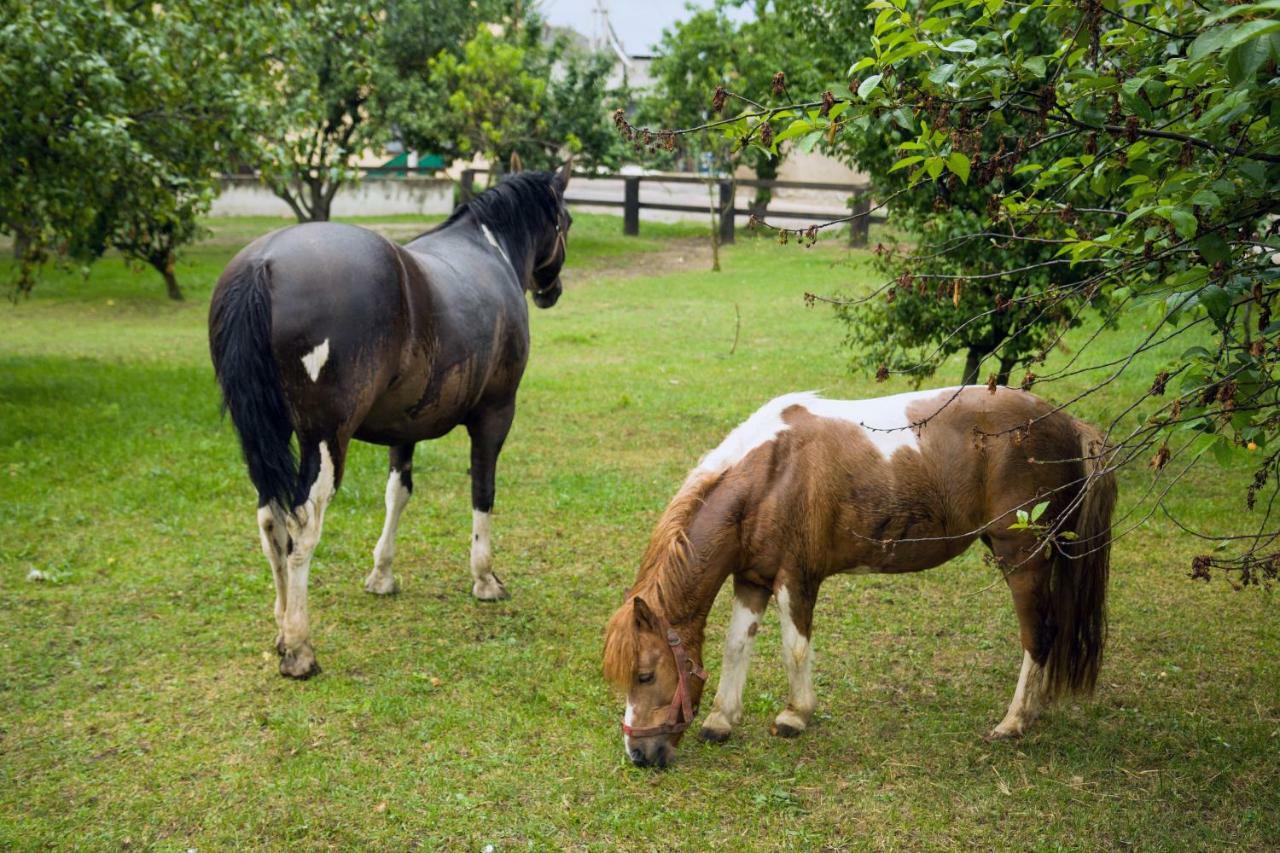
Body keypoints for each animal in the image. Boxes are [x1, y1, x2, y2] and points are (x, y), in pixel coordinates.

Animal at [212, 162, 573, 676]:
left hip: (264, 439)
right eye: (566, 222)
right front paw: (485, 579)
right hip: (324, 442)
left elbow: (396, 495)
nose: (551, 292)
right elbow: (482, 492)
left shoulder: (406, 426)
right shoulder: (495, 415)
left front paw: (381, 573)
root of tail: (264, 263)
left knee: (270, 522)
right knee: (302, 528)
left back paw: (282, 630)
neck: (488, 249)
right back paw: (300, 647)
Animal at [604, 384, 1116, 763]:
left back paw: (1013, 722)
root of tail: (1067, 423)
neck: (770, 475)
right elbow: (736, 647)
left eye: (645, 676)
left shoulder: (796, 578)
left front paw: (795, 716)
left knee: (1038, 636)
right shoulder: (751, 580)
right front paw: (721, 719)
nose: (638, 755)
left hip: (1024, 558)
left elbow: (794, 648)